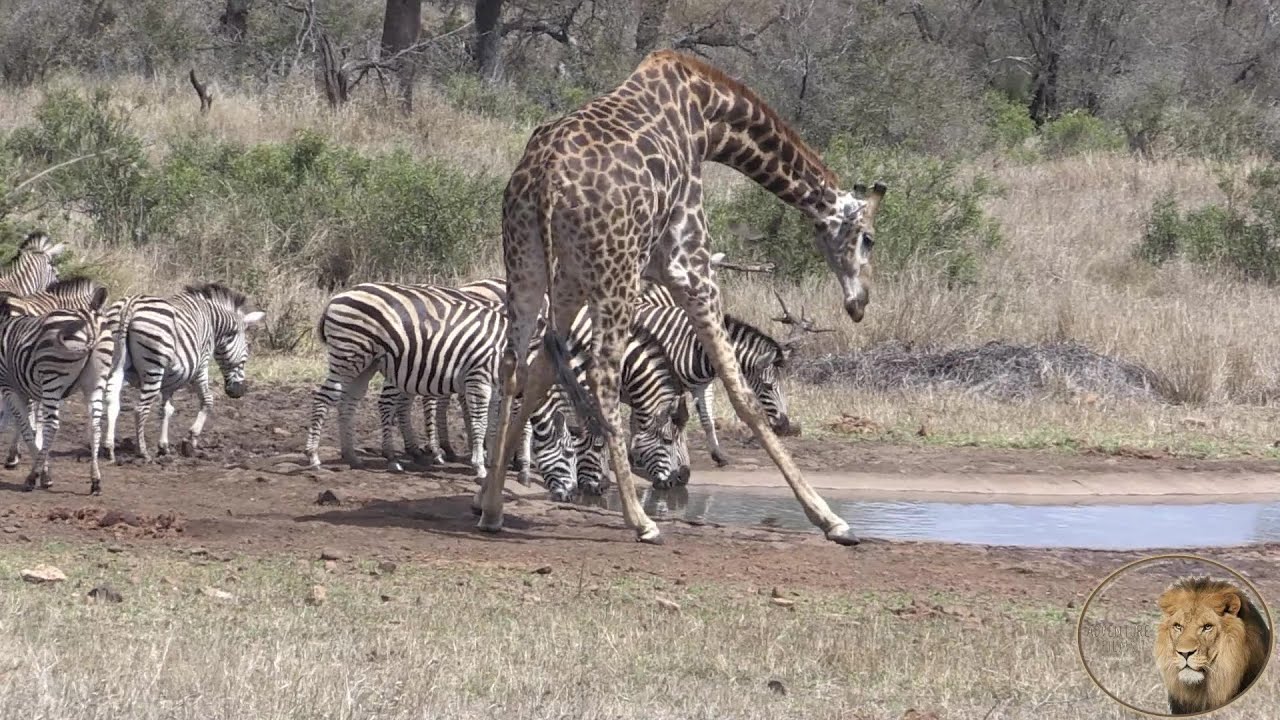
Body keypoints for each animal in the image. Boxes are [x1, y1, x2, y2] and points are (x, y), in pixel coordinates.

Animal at [103, 280, 266, 458]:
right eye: (245, 357)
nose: (239, 392)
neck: (213, 321)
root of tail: (129, 305)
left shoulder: (170, 378)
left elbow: (166, 409)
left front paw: (163, 446)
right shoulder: (201, 364)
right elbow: (207, 400)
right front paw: (190, 440)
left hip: (116, 363)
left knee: (112, 401)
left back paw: (109, 448)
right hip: (154, 367)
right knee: (140, 409)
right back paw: (143, 451)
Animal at [634, 280, 793, 466]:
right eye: (768, 386)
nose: (784, 426)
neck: (698, 348)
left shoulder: (702, 385)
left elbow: (707, 420)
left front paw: (718, 455)